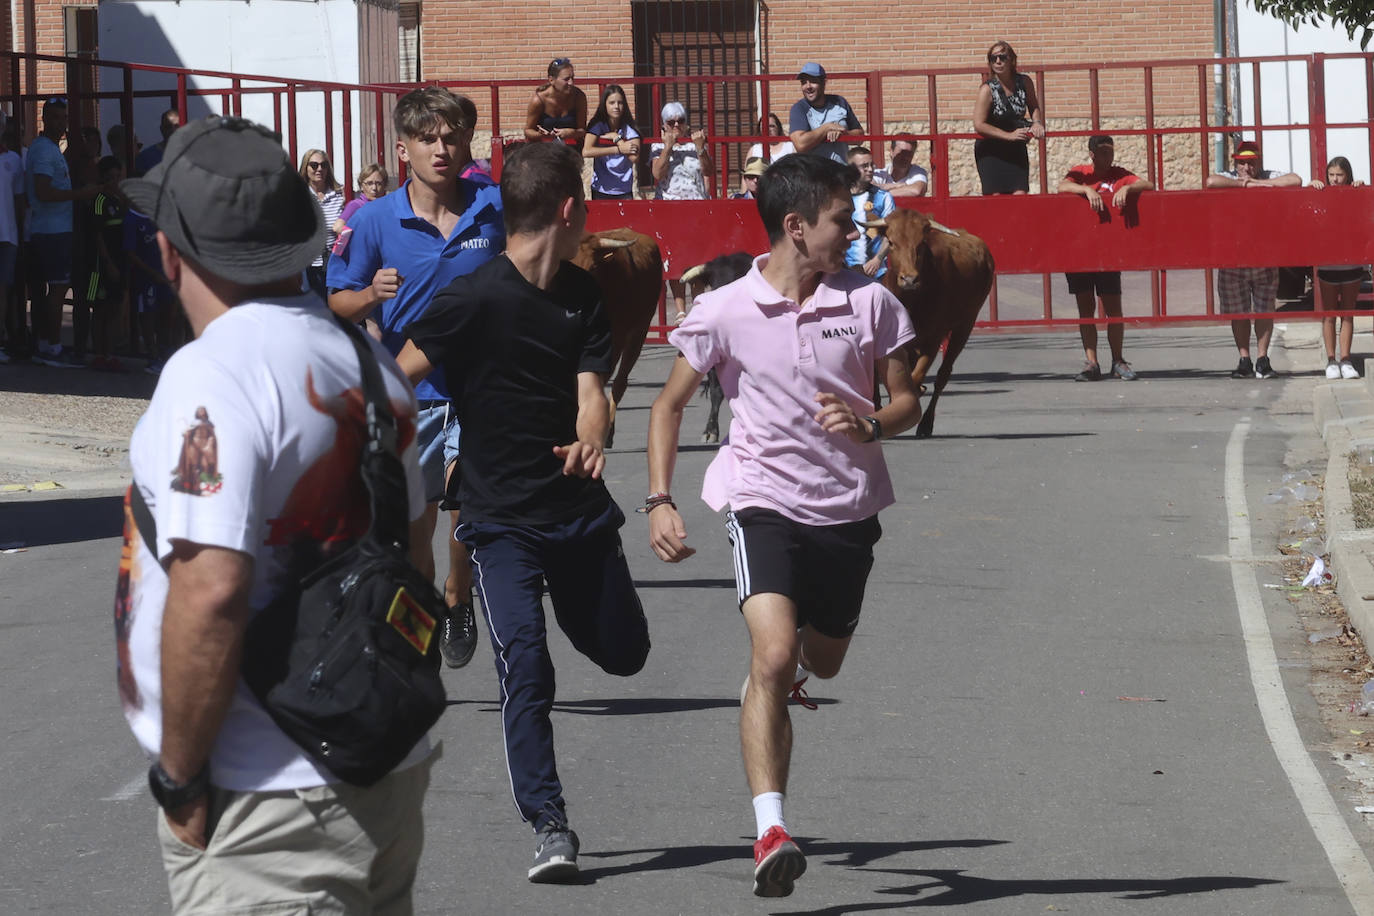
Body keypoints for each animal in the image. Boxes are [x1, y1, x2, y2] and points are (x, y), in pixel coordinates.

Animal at [862, 210, 994, 439]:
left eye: (921, 243)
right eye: (891, 242)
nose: (909, 279)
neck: (911, 301)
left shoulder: (933, 339)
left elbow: (915, 378)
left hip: (965, 324)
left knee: (943, 374)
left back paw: (925, 423)